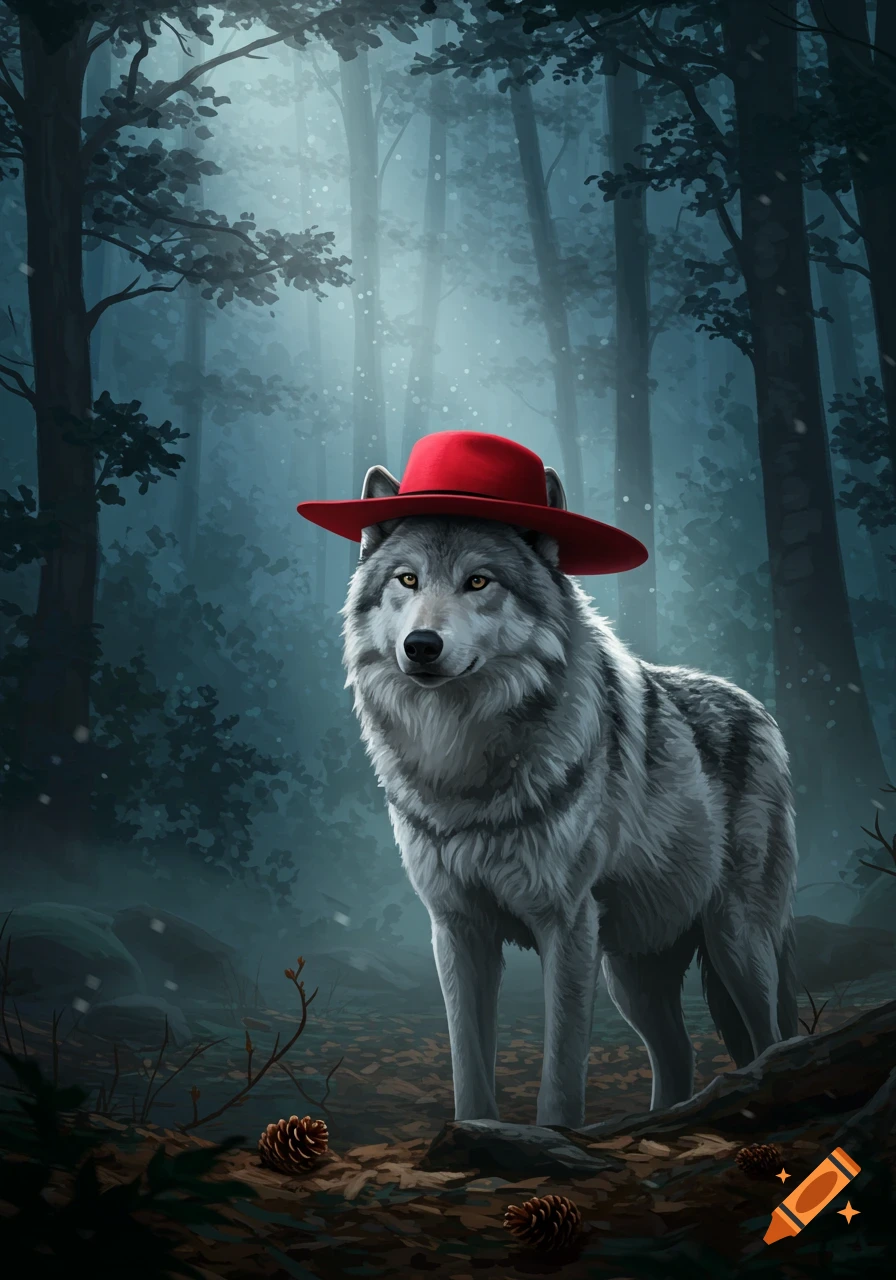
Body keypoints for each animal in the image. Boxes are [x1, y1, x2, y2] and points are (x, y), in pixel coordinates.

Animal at [341, 463, 798, 1130]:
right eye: (408, 579)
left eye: (478, 581)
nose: (421, 645)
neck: (463, 766)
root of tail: (759, 708)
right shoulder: (456, 929)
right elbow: (468, 1063)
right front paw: (475, 1136)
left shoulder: (568, 922)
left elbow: (560, 1068)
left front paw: (552, 1137)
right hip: (633, 971)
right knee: (679, 1055)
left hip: (734, 943)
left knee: (773, 1038)